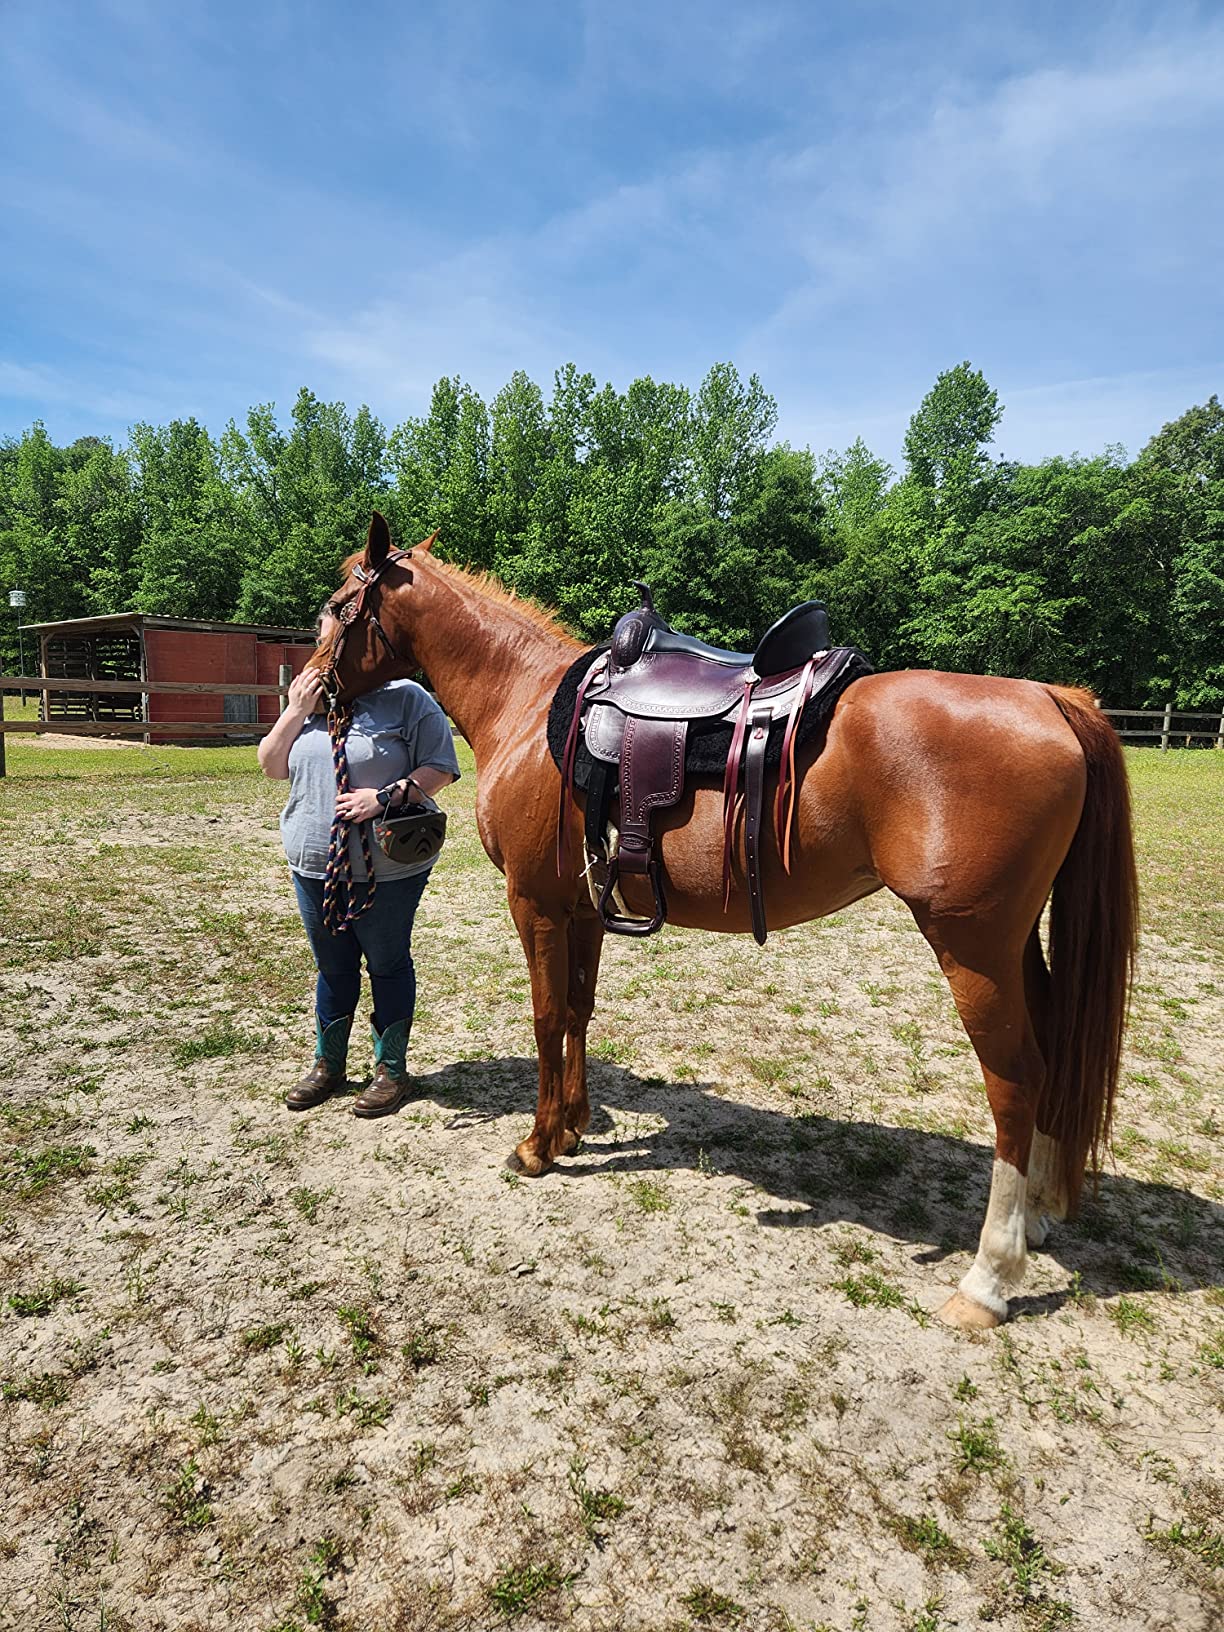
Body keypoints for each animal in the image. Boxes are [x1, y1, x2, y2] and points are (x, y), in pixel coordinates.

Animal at [314, 513, 1138, 1331]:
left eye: (335, 605)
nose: (315, 690)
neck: (523, 700)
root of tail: (1051, 698)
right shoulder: (582, 907)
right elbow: (578, 1011)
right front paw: (574, 1125)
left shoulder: (536, 904)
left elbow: (548, 1017)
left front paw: (540, 1144)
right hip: (1014, 947)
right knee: (1052, 1055)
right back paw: (1037, 1216)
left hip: (972, 948)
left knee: (1017, 1082)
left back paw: (989, 1277)